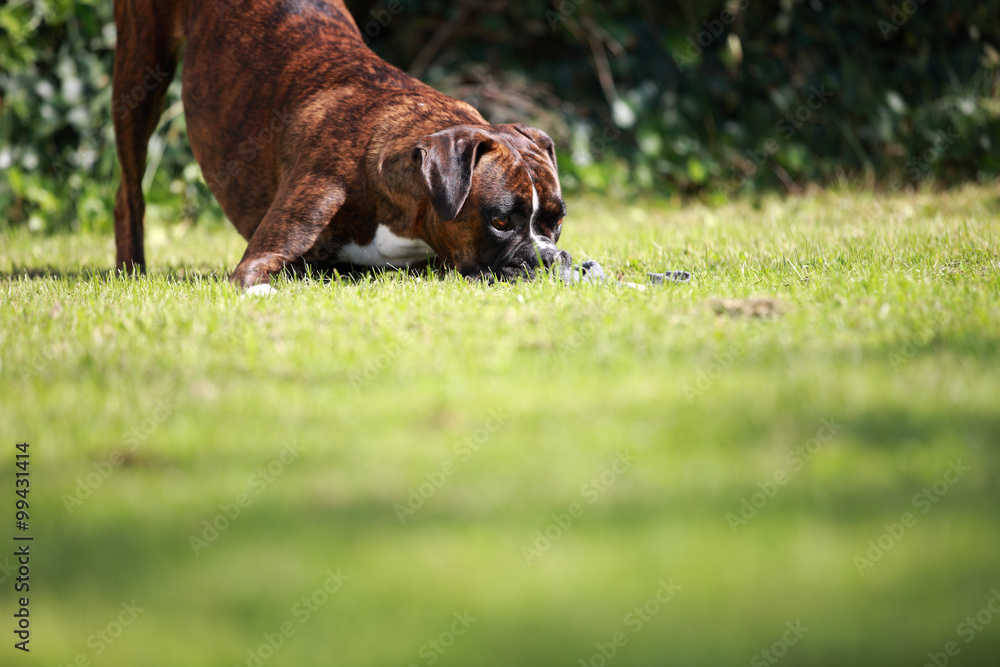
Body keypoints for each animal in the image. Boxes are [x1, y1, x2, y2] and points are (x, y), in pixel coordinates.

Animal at [111, 0, 572, 292]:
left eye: (558, 221)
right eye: (500, 221)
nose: (551, 259)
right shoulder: (258, 261)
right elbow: (261, 283)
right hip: (139, 76)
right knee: (128, 192)